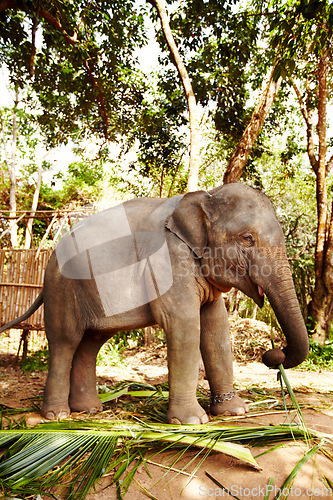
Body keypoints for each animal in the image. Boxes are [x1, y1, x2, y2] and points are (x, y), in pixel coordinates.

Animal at [0, 182, 308, 424]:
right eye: (247, 238)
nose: (272, 354)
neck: (205, 196)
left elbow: (216, 327)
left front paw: (234, 412)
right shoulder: (167, 260)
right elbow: (185, 324)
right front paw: (192, 422)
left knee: (90, 344)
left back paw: (88, 410)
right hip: (63, 288)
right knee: (66, 340)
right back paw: (58, 416)